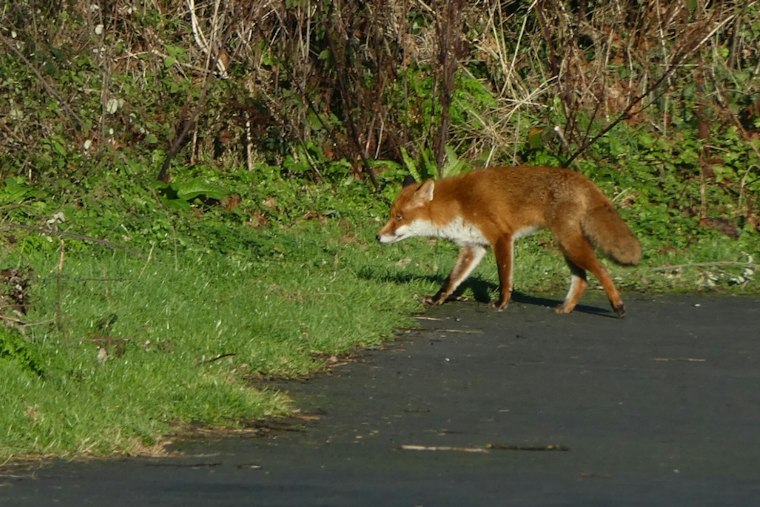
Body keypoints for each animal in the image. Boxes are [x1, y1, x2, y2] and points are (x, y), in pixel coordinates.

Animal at [376, 166, 641, 317]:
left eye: (399, 217)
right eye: (391, 215)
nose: (377, 236)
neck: (457, 204)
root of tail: (581, 178)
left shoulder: (501, 237)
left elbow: (505, 277)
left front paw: (502, 303)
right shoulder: (473, 247)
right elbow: (451, 281)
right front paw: (435, 300)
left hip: (569, 243)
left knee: (602, 270)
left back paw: (617, 306)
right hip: (566, 244)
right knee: (582, 278)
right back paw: (566, 308)